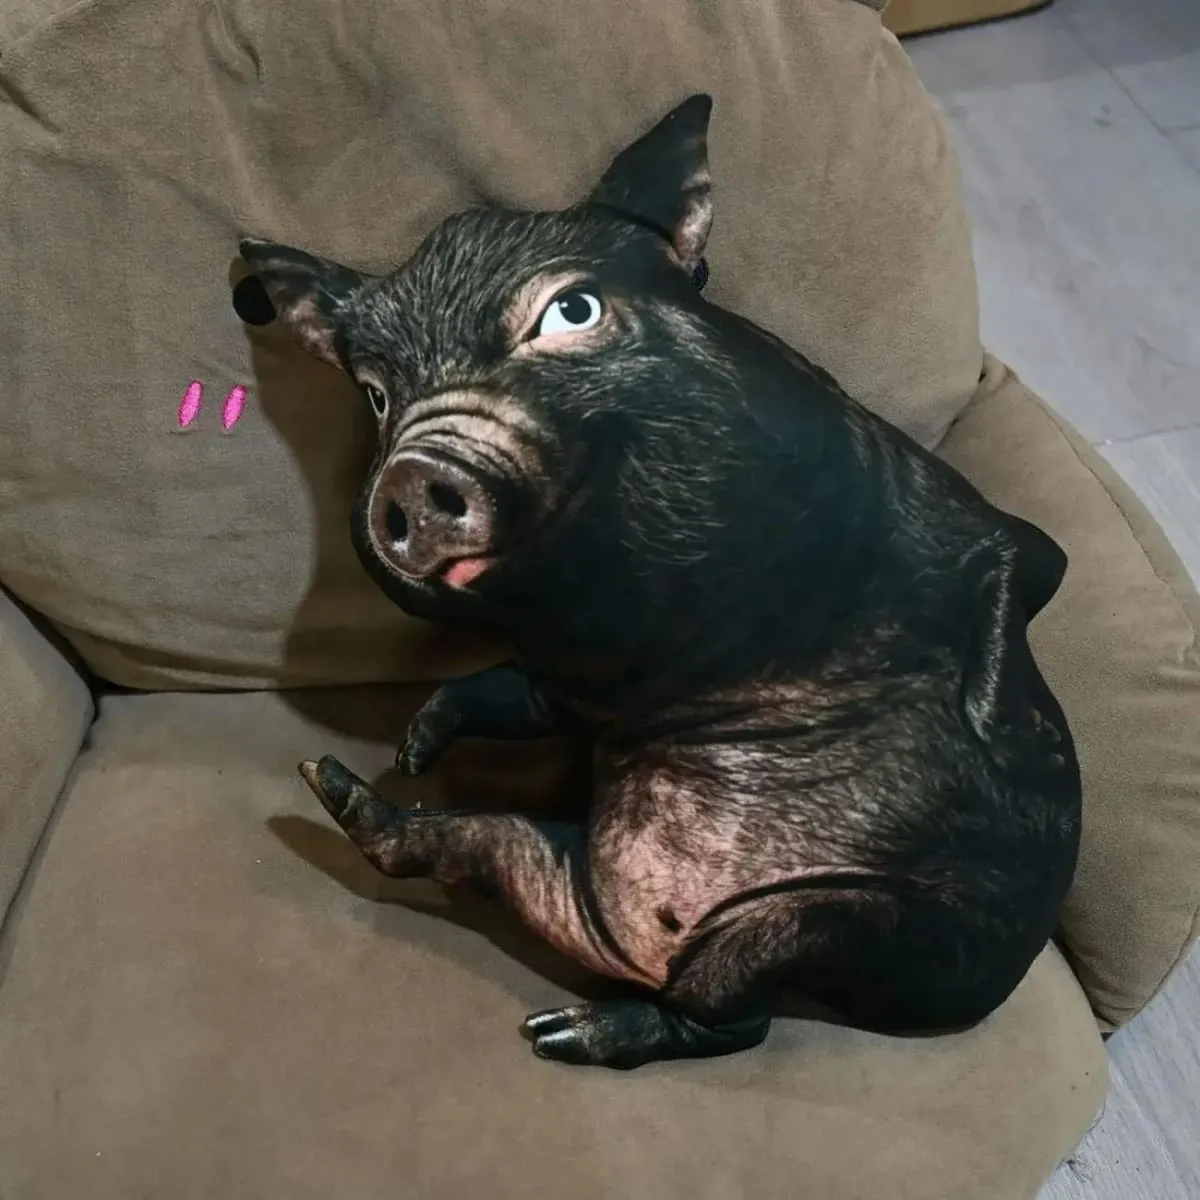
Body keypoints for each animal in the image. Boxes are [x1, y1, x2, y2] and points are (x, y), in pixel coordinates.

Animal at [233, 94, 1081, 1071]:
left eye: (572, 311)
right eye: (376, 394)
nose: (415, 470)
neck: (654, 622)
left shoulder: (975, 525)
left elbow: (1026, 568)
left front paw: (1001, 733)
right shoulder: (577, 679)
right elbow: (512, 694)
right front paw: (415, 747)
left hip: (830, 922)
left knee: (739, 1024)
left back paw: (566, 1032)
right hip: (577, 881)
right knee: (483, 856)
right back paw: (354, 806)